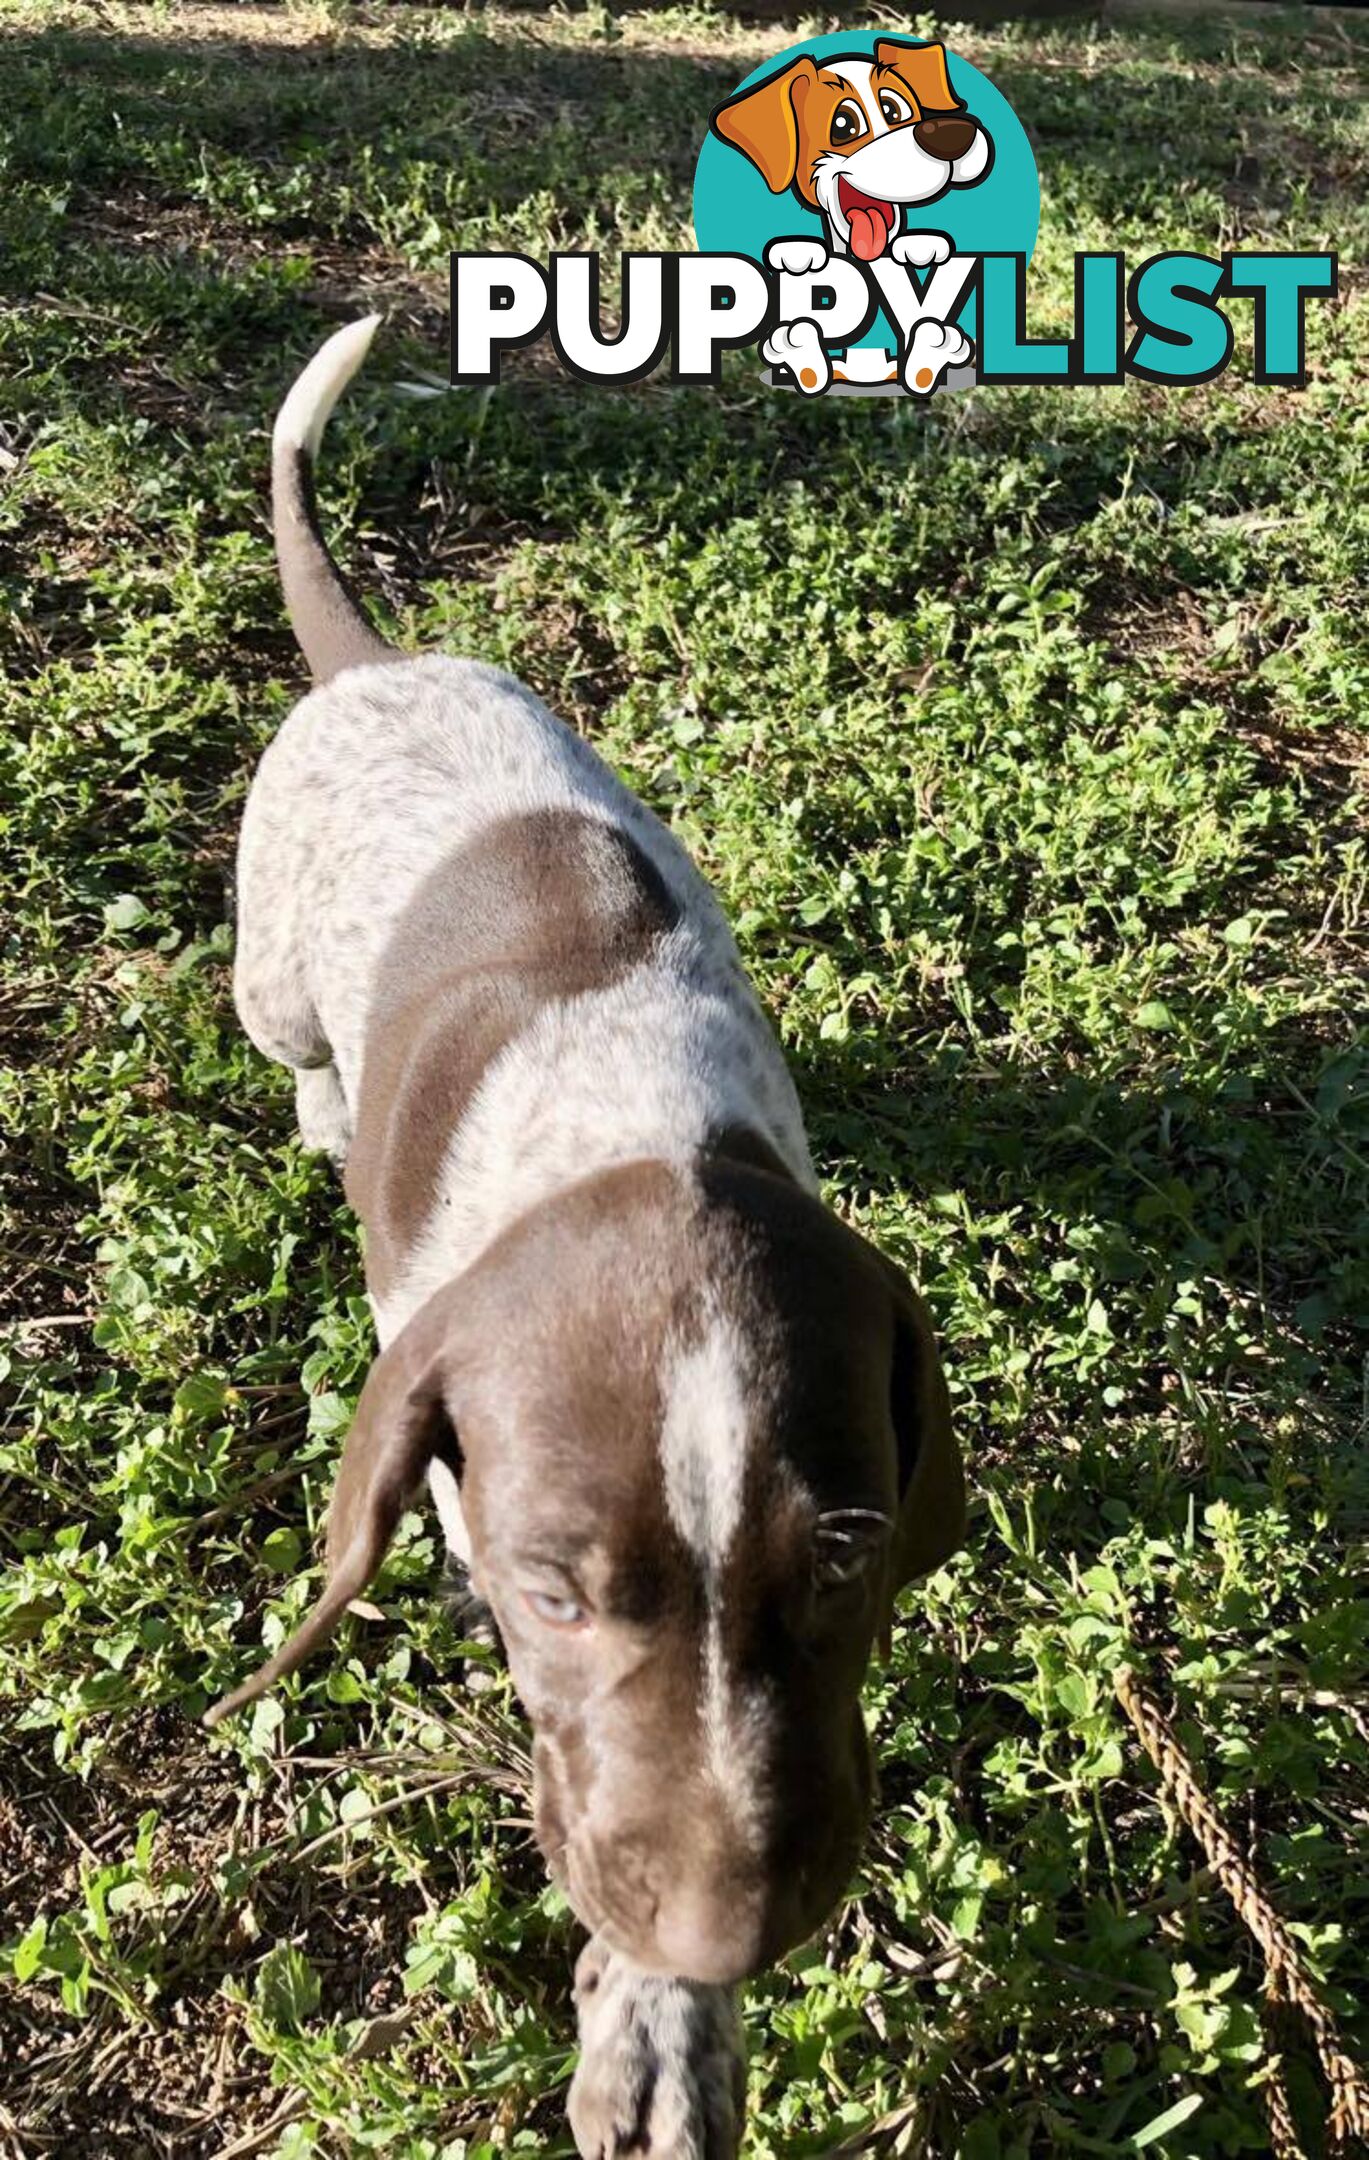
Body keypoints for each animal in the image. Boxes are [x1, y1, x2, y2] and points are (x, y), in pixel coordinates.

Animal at [208, 319, 963, 2160]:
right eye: (547, 1597)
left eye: (842, 1559)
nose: (728, 1937)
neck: (628, 1137)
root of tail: (379, 665)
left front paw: (666, 2022)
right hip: (266, 973)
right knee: (293, 1038)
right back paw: (321, 1106)